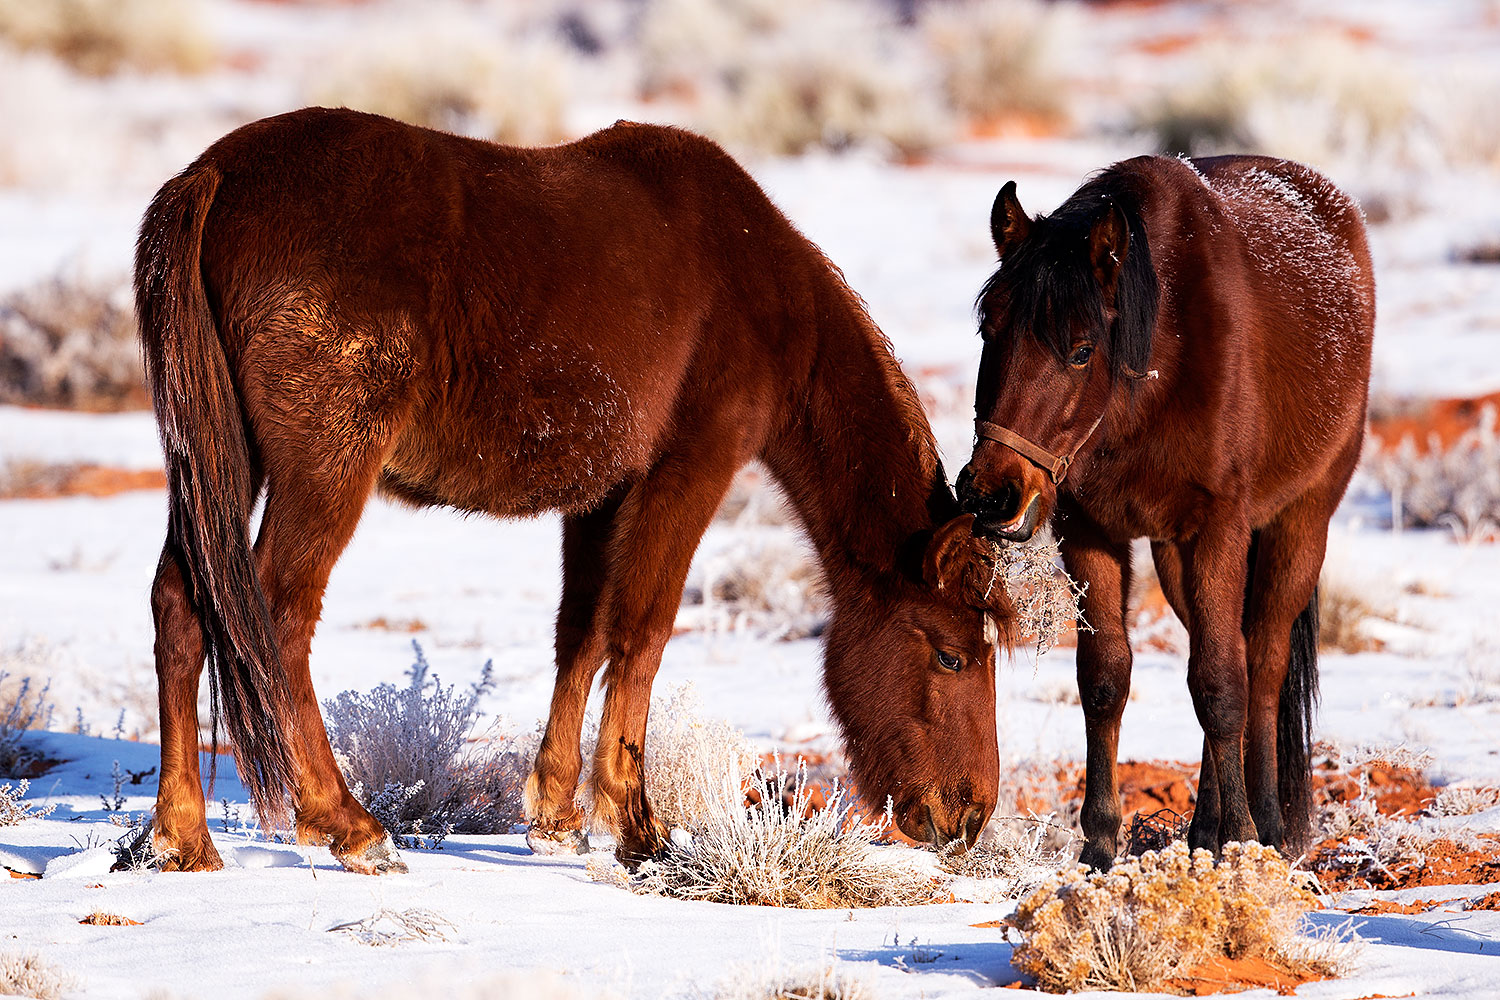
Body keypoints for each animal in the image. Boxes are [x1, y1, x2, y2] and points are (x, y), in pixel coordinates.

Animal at [135, 107, 1012, 875]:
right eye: (951, 655)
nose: (968, 813)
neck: (759, 288)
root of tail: (214, 178)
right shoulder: (690, 470)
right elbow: (643, 633)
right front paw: (638, 827)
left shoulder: (602, 496)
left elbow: (582, 634)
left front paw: (556, 817)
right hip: (322, 470)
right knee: (277, 615)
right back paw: (350, 827)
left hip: (222, 459)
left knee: (182, 601)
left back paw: (181, 838)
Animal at [955, 154, 1374, 869]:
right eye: (990, 331)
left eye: (1081, 349)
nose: (992, 495)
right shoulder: (1091, 532)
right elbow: (1105, 679)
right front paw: (1100, 846)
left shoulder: (1220, 527)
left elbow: (1222, 684)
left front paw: (1242, 839)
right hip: (1175, 555)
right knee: (1226, 648)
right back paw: (1205, 827)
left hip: (1297, 525)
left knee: (1262, 664)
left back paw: (1268, 823)